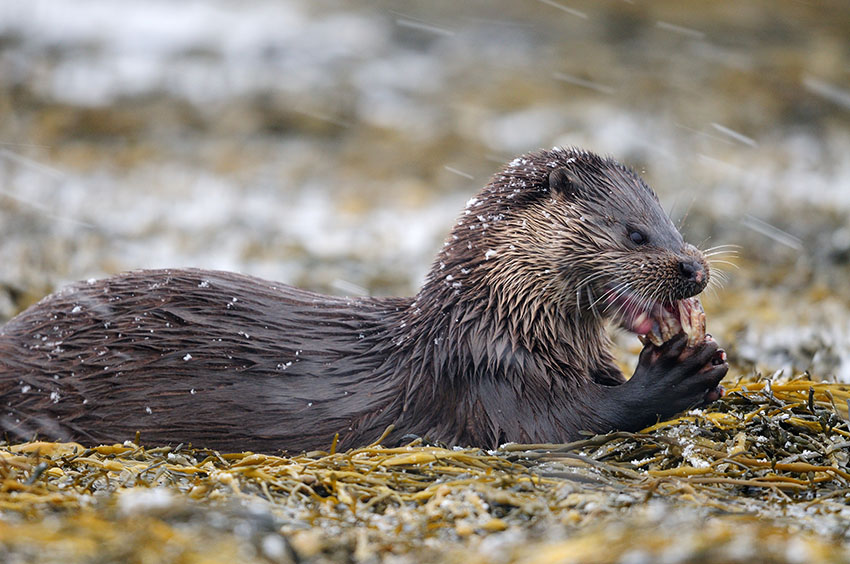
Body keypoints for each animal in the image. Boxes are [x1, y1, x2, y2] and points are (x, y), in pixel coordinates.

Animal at [0, 148, 724, 452]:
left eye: (674, 223)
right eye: (636, 233)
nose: (693, 267)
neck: (495, 321)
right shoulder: (490, 381)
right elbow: (569, 424)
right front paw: (680, 371)